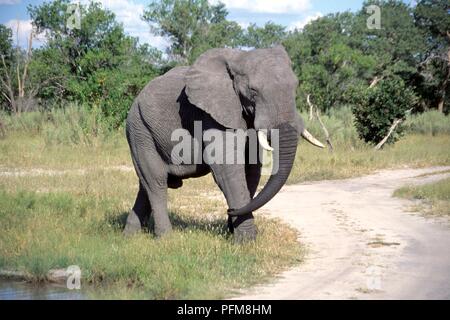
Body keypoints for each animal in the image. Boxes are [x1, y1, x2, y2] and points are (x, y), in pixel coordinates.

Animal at [123, 45, 324, 242]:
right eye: (253, 91)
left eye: (295, 86)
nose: (230, 211)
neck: (239, 58)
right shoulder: (211, 113)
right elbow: (227, 168)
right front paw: (246, 242)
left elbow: (251, 169)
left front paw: (234, 233)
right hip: (139, 130)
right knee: (156, 181)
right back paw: (166, 239)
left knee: (146, 184)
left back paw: (130, 236)